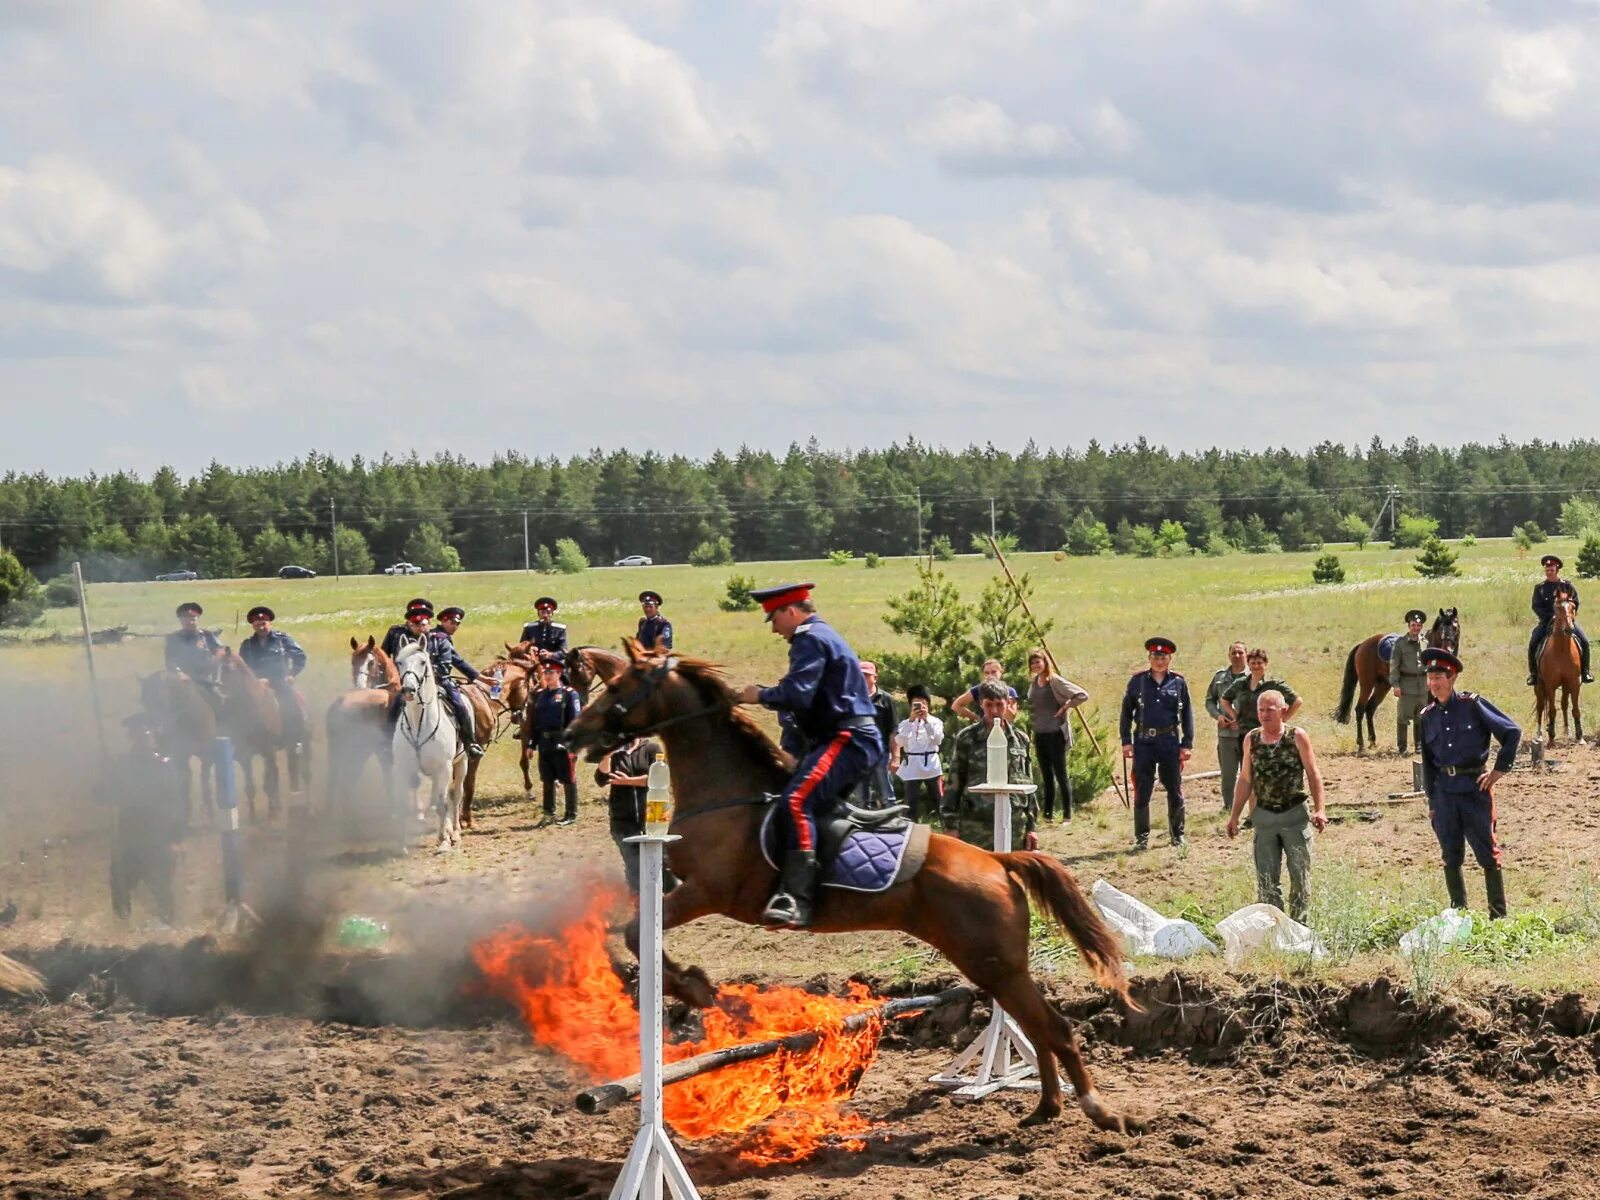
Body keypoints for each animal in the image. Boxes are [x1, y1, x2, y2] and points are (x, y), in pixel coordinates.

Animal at [390, 640, 467, 857]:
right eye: (399, 662)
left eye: (423, 662)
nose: (408, 689)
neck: (419, 723)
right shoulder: (403, 769)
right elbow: (403, 802)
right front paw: (401, 845)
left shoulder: (444, 767)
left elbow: (442, 803)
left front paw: (444, 842)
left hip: (461, 764)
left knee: (456, 795)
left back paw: (455, 832)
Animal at [563, 643, 1139, 1132]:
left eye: (619, 687)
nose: (571, 735)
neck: (727, 792)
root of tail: (998, 860)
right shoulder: (691, 888)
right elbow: (632, 927)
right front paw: (682, 982)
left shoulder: (708, 891)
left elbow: (637, 930)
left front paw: (692, 986)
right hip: (993, 965)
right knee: (1037, 1027)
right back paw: (1046, 1108)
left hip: (993, 962)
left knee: (1053, 1028)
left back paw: (1099, 1111)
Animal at [1331, 611, 1459, 752]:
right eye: (1441, 629)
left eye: (1455, 627)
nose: (1447, 649)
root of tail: (1363, 645)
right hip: (1367, 684)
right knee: (1360, 709)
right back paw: (1361, 744)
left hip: (1382, 685)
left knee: (1370, 708)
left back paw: (1372, 741)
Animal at [1529, 598, 1580, 748]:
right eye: (1557, 609)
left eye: (1573, 607)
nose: (1569, 629)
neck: (1562, 649)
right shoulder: (1550, 685)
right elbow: (1552, 711)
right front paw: (1551, 737)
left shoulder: (1574, 683)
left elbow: (1575, 710)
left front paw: (1580, 737)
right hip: (1539, 686)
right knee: (1540, 707)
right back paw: (1539, 735)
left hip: (1565, 686)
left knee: (1564, 704)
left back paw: (1567, 732)